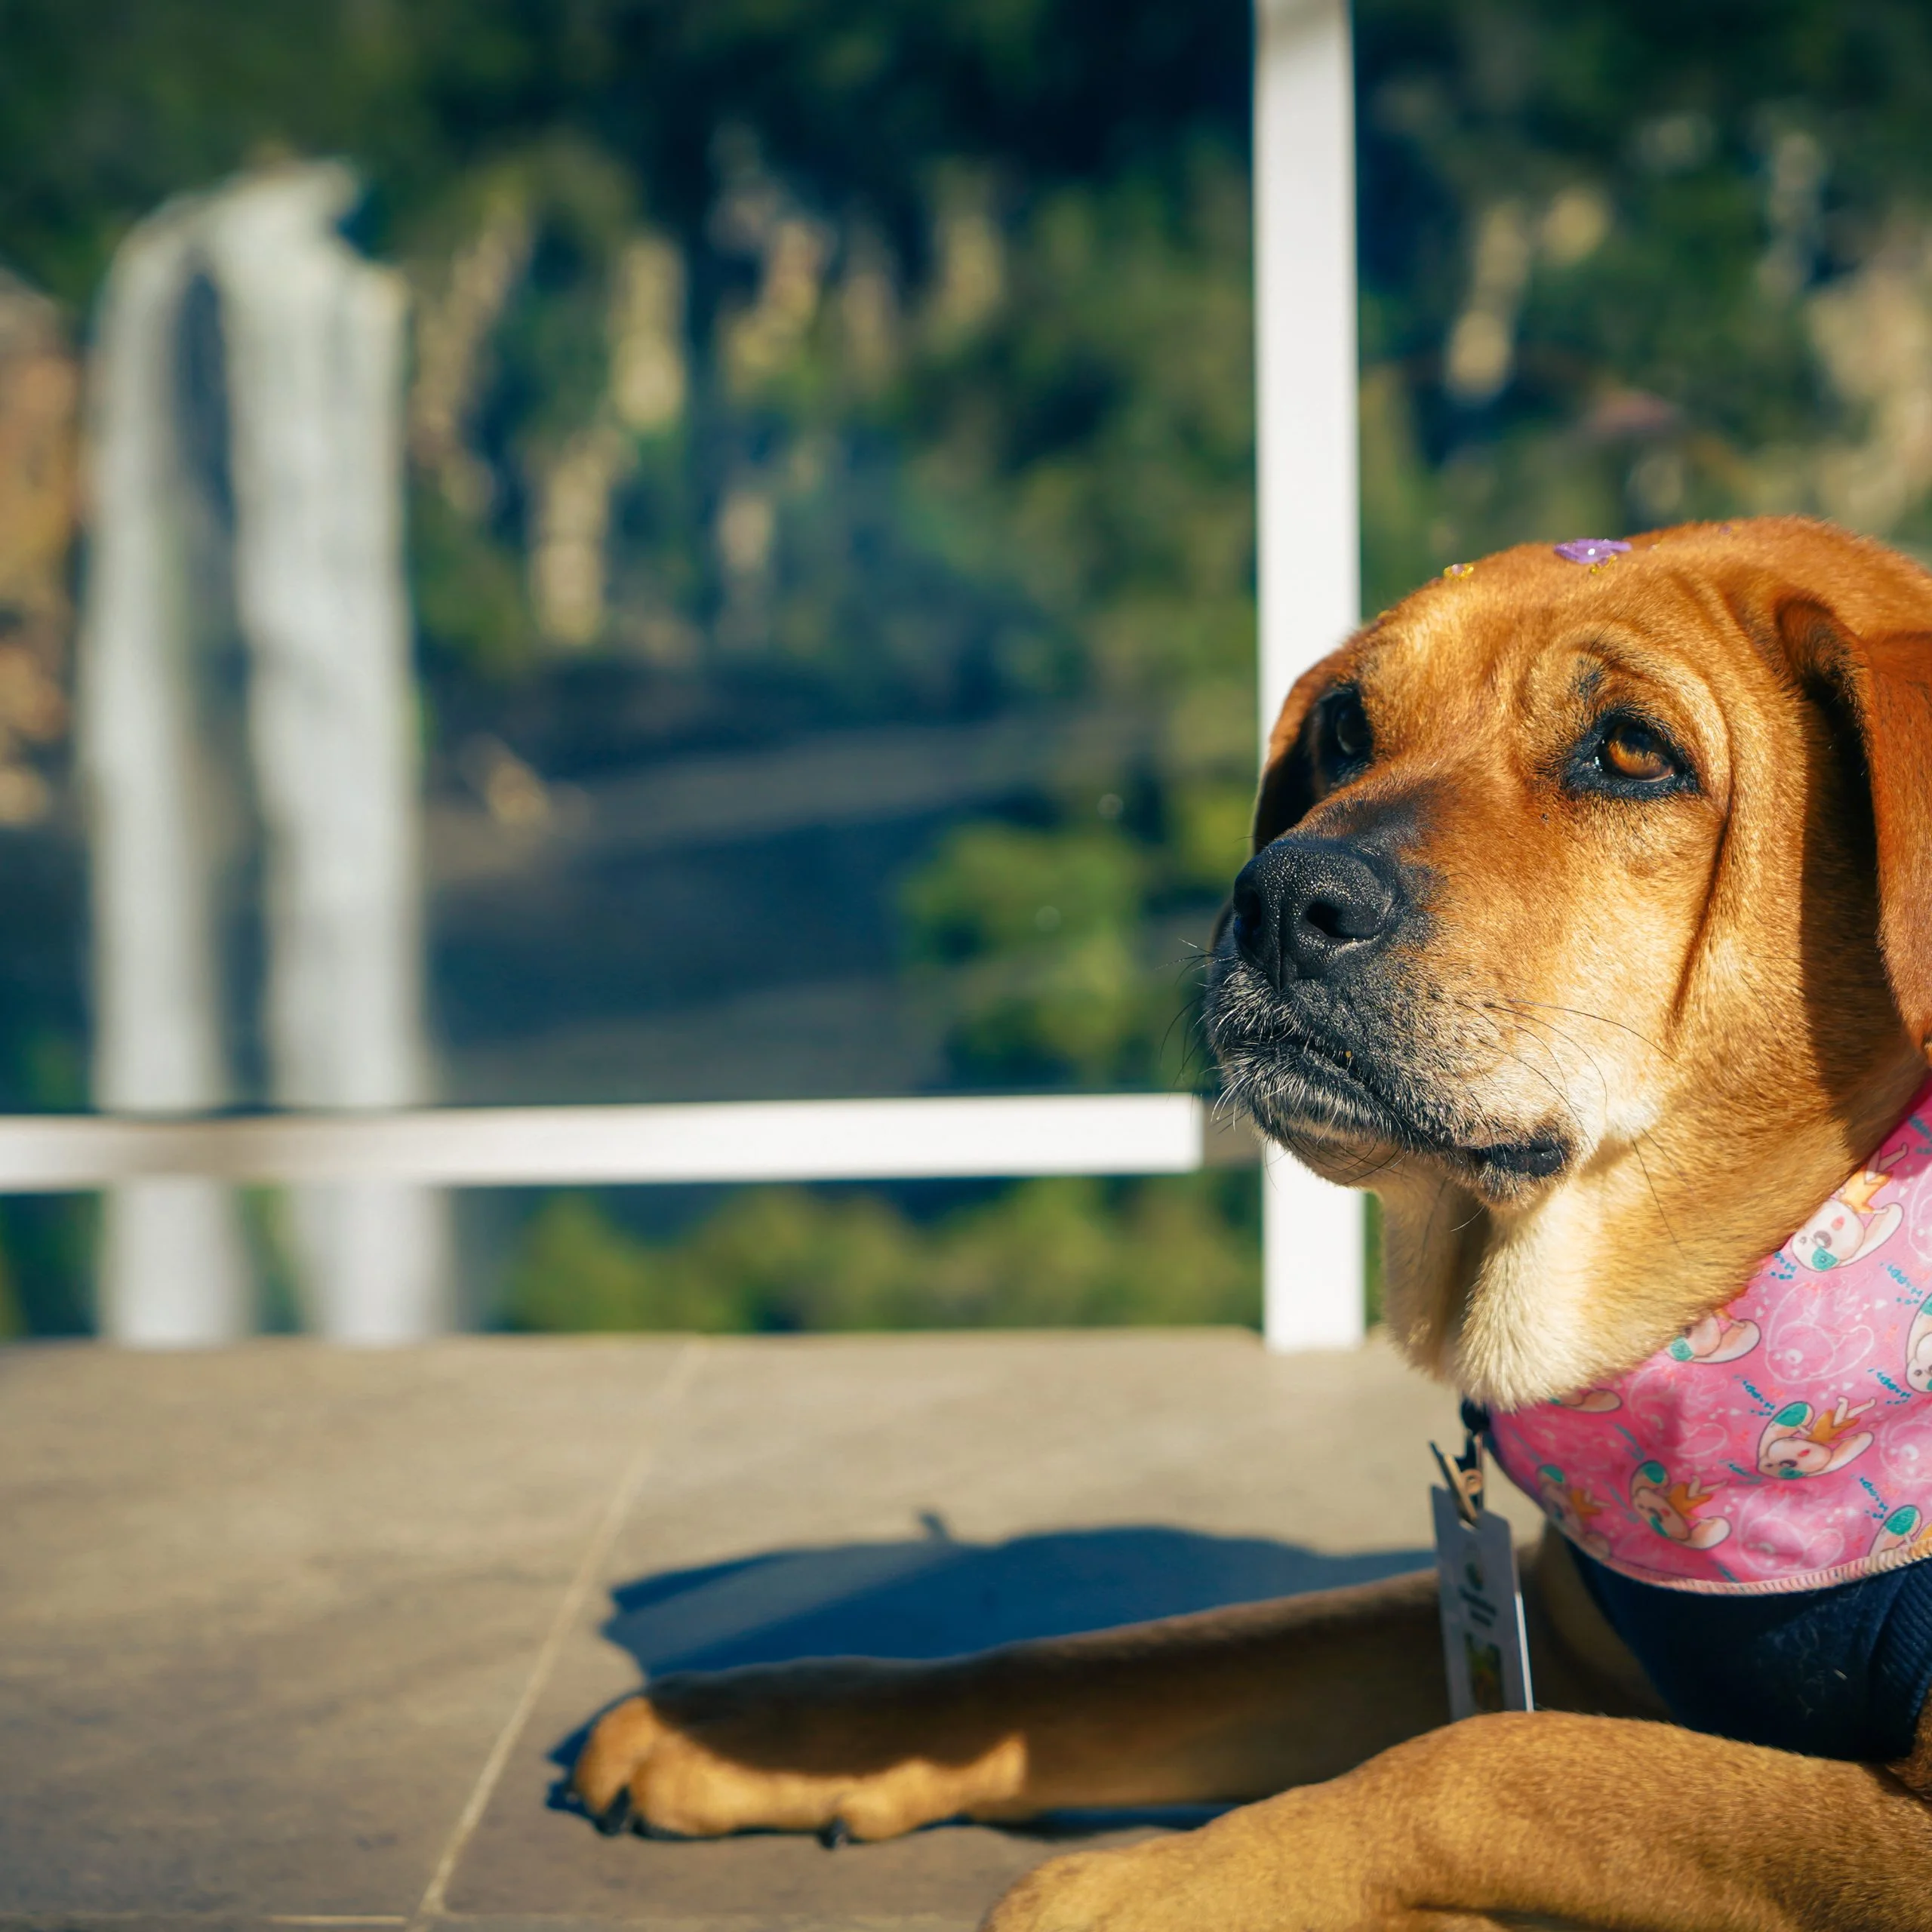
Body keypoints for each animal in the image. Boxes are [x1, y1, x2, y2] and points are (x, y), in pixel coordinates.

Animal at [571, 521, 1932, 1924]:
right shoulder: (1549, 1636)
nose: (1280, 900)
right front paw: (779, 1726)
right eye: (1346, 728)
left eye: (1630, 752)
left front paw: (1130, 1891)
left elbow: (1485, 1763)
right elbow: (1121, 1663)